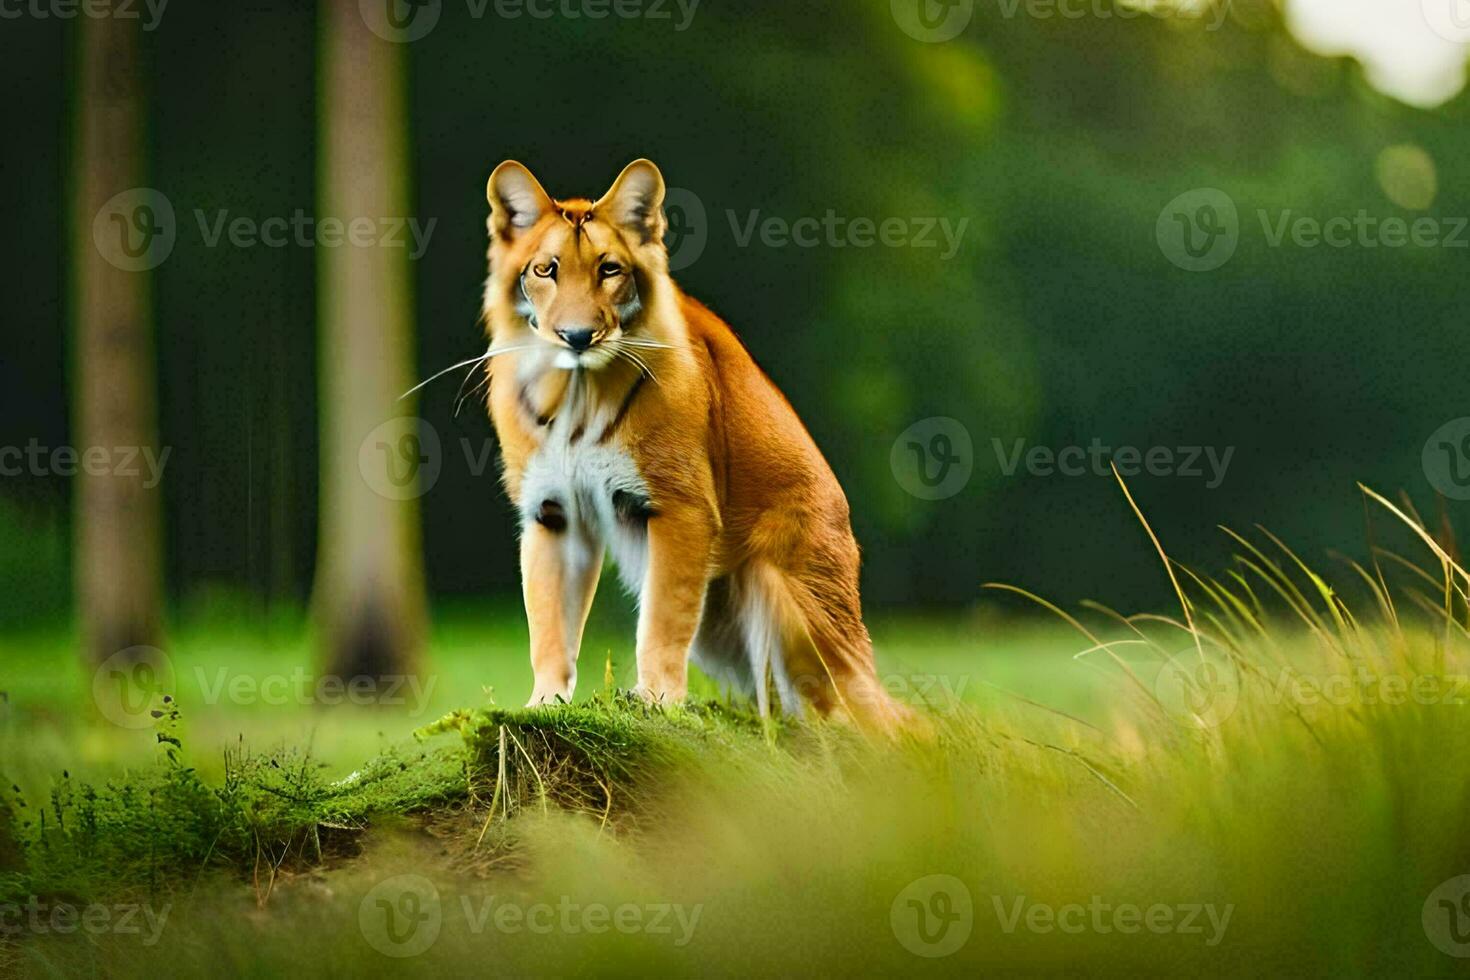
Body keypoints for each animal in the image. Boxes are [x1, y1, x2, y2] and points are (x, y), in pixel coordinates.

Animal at [482, 157, 905, 731]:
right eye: (545, 270)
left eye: (609, 270)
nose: (576, 337)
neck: (576, 394)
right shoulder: (554, 512)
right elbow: (549, 624)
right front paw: (544, 705)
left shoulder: (680, 505)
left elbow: (663, 619)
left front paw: (656, 701)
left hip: (785, 593)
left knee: (866, 717)